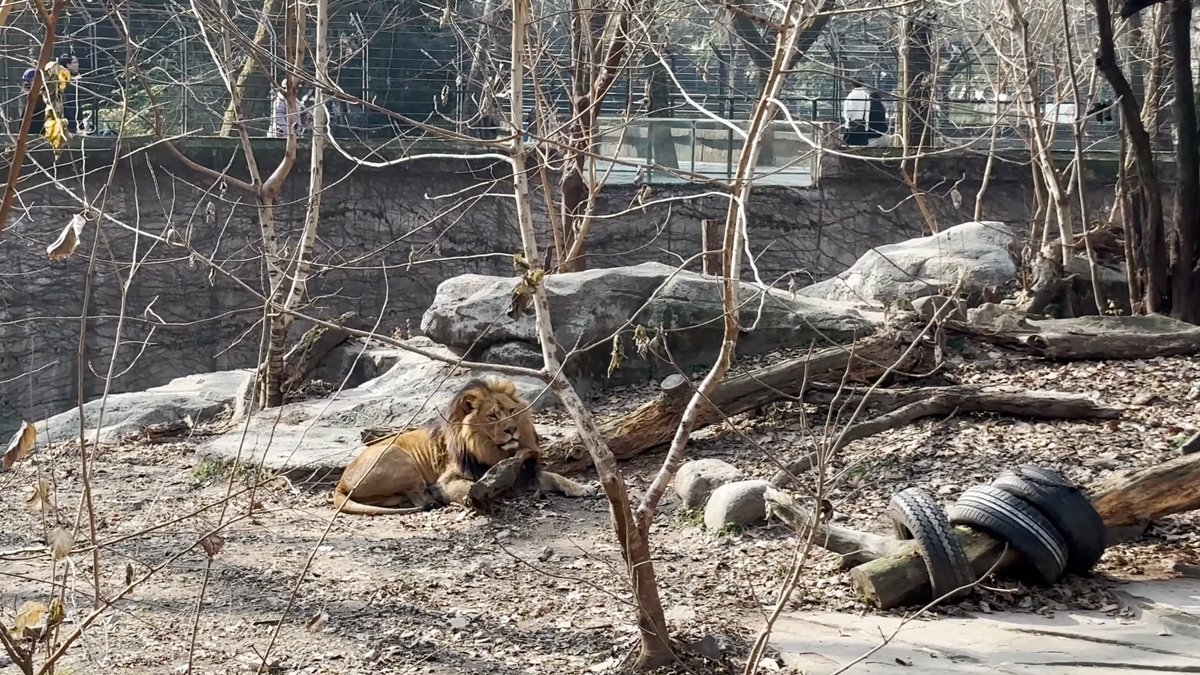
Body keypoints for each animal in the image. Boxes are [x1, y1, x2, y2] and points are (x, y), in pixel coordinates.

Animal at [332, 377, 596, 515]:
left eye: (512, 411)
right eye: (492, 416)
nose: (511, 429)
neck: (492, 450)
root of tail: (341, 482)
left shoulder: (525, 471)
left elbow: (555, 476)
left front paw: (582, 487)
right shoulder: (448, 478)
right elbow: (470, 486)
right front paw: (479, 494)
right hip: (399, 457)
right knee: (419, 497)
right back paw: (433, 500)